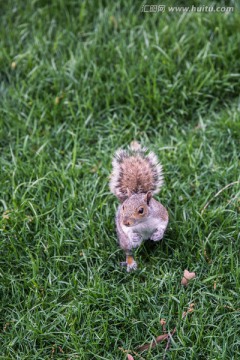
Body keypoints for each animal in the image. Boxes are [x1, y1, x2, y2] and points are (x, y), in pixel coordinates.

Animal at [109, 142, 168, 272]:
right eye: (123, 207)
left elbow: (163, 224)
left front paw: (158, 234)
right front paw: (133, 235)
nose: (126, 222)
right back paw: (131, 263)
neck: (143, 222)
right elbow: (127, 230)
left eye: (141, 210)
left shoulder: (161, 214)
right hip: (125, 242)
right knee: (128, 252)